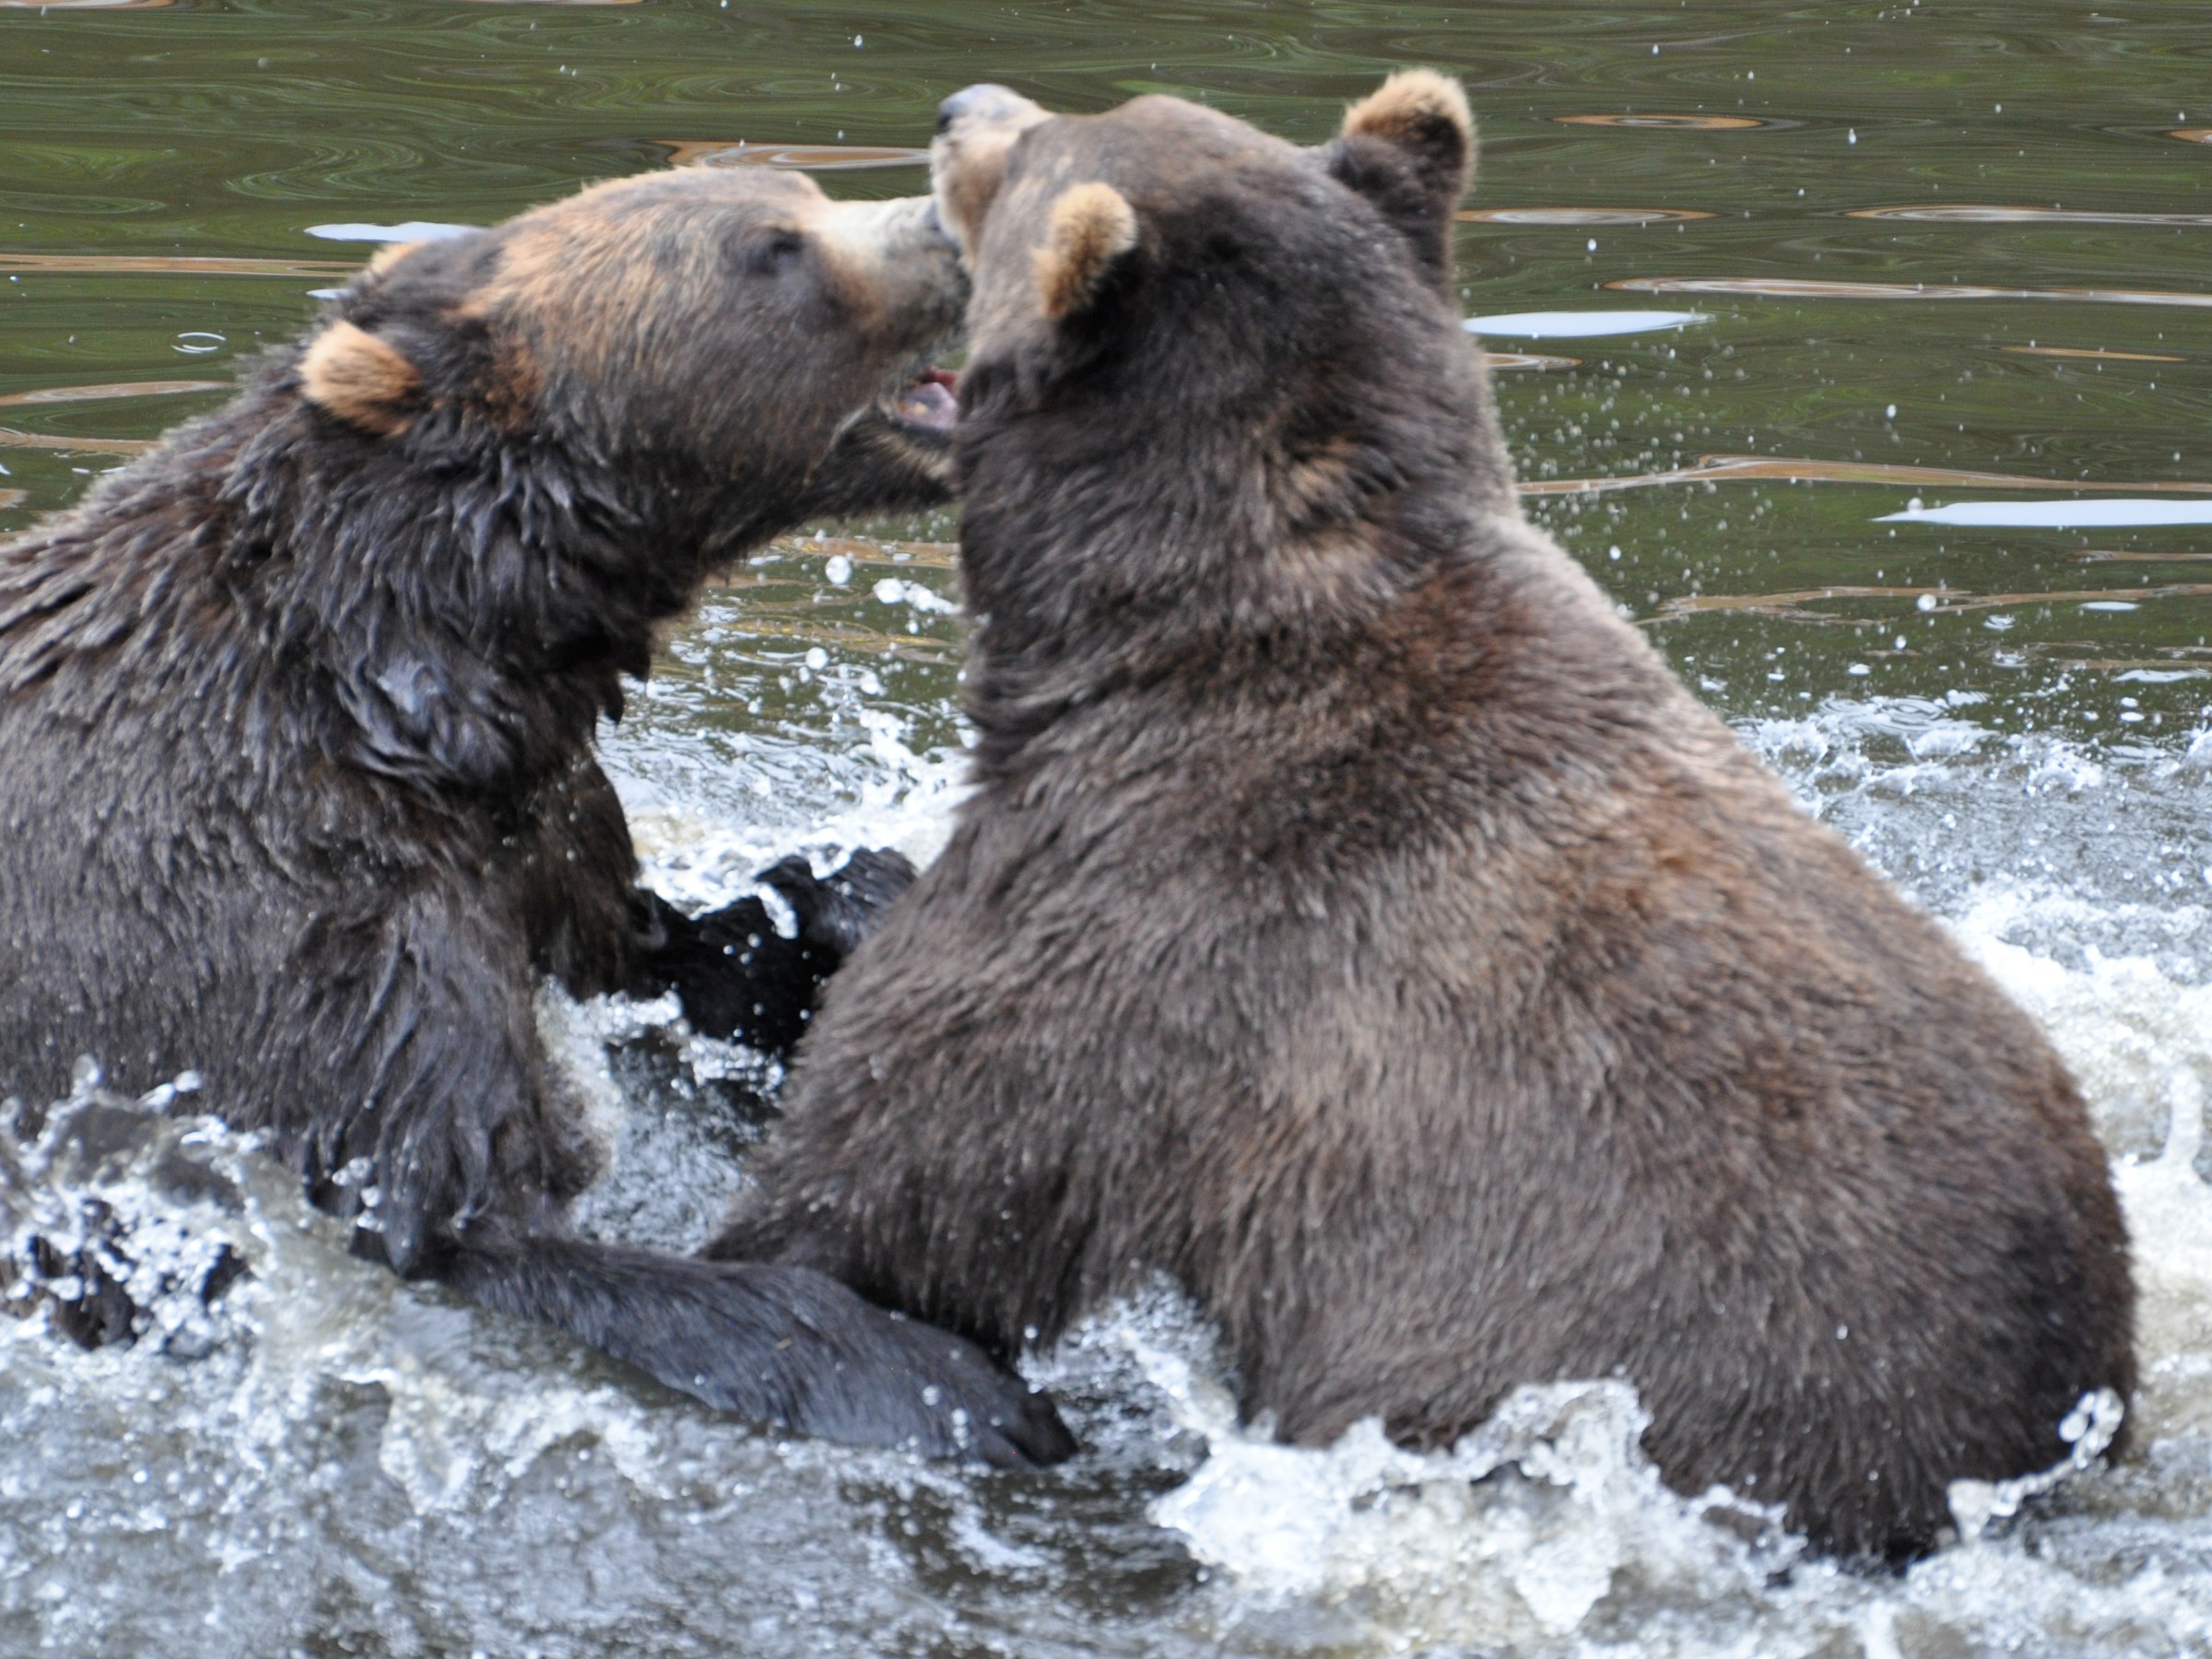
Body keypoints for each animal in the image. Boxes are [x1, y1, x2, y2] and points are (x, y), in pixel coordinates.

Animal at [0, 162, 1070, 1467]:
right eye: (774, 246)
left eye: (801, 186)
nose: (957, 225)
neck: (409, 688)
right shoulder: (274, 908)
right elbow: (462, 1215)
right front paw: (950, 1382)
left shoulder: (543, 822)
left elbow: (662, 961)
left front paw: (849, 902)